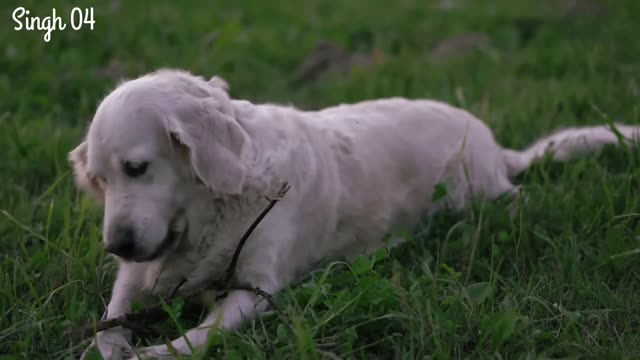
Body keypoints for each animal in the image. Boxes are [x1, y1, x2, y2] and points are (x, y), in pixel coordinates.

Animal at [71, 69, 640, 358]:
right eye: (99, 179)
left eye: (137, 168)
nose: (116, 246)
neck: (215, 205)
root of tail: (494, 145)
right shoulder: (139, 274)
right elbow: (108, 324)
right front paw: (113, 344)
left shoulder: (257, 289)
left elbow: (195, 339)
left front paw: (150, 353)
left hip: (481, 196)